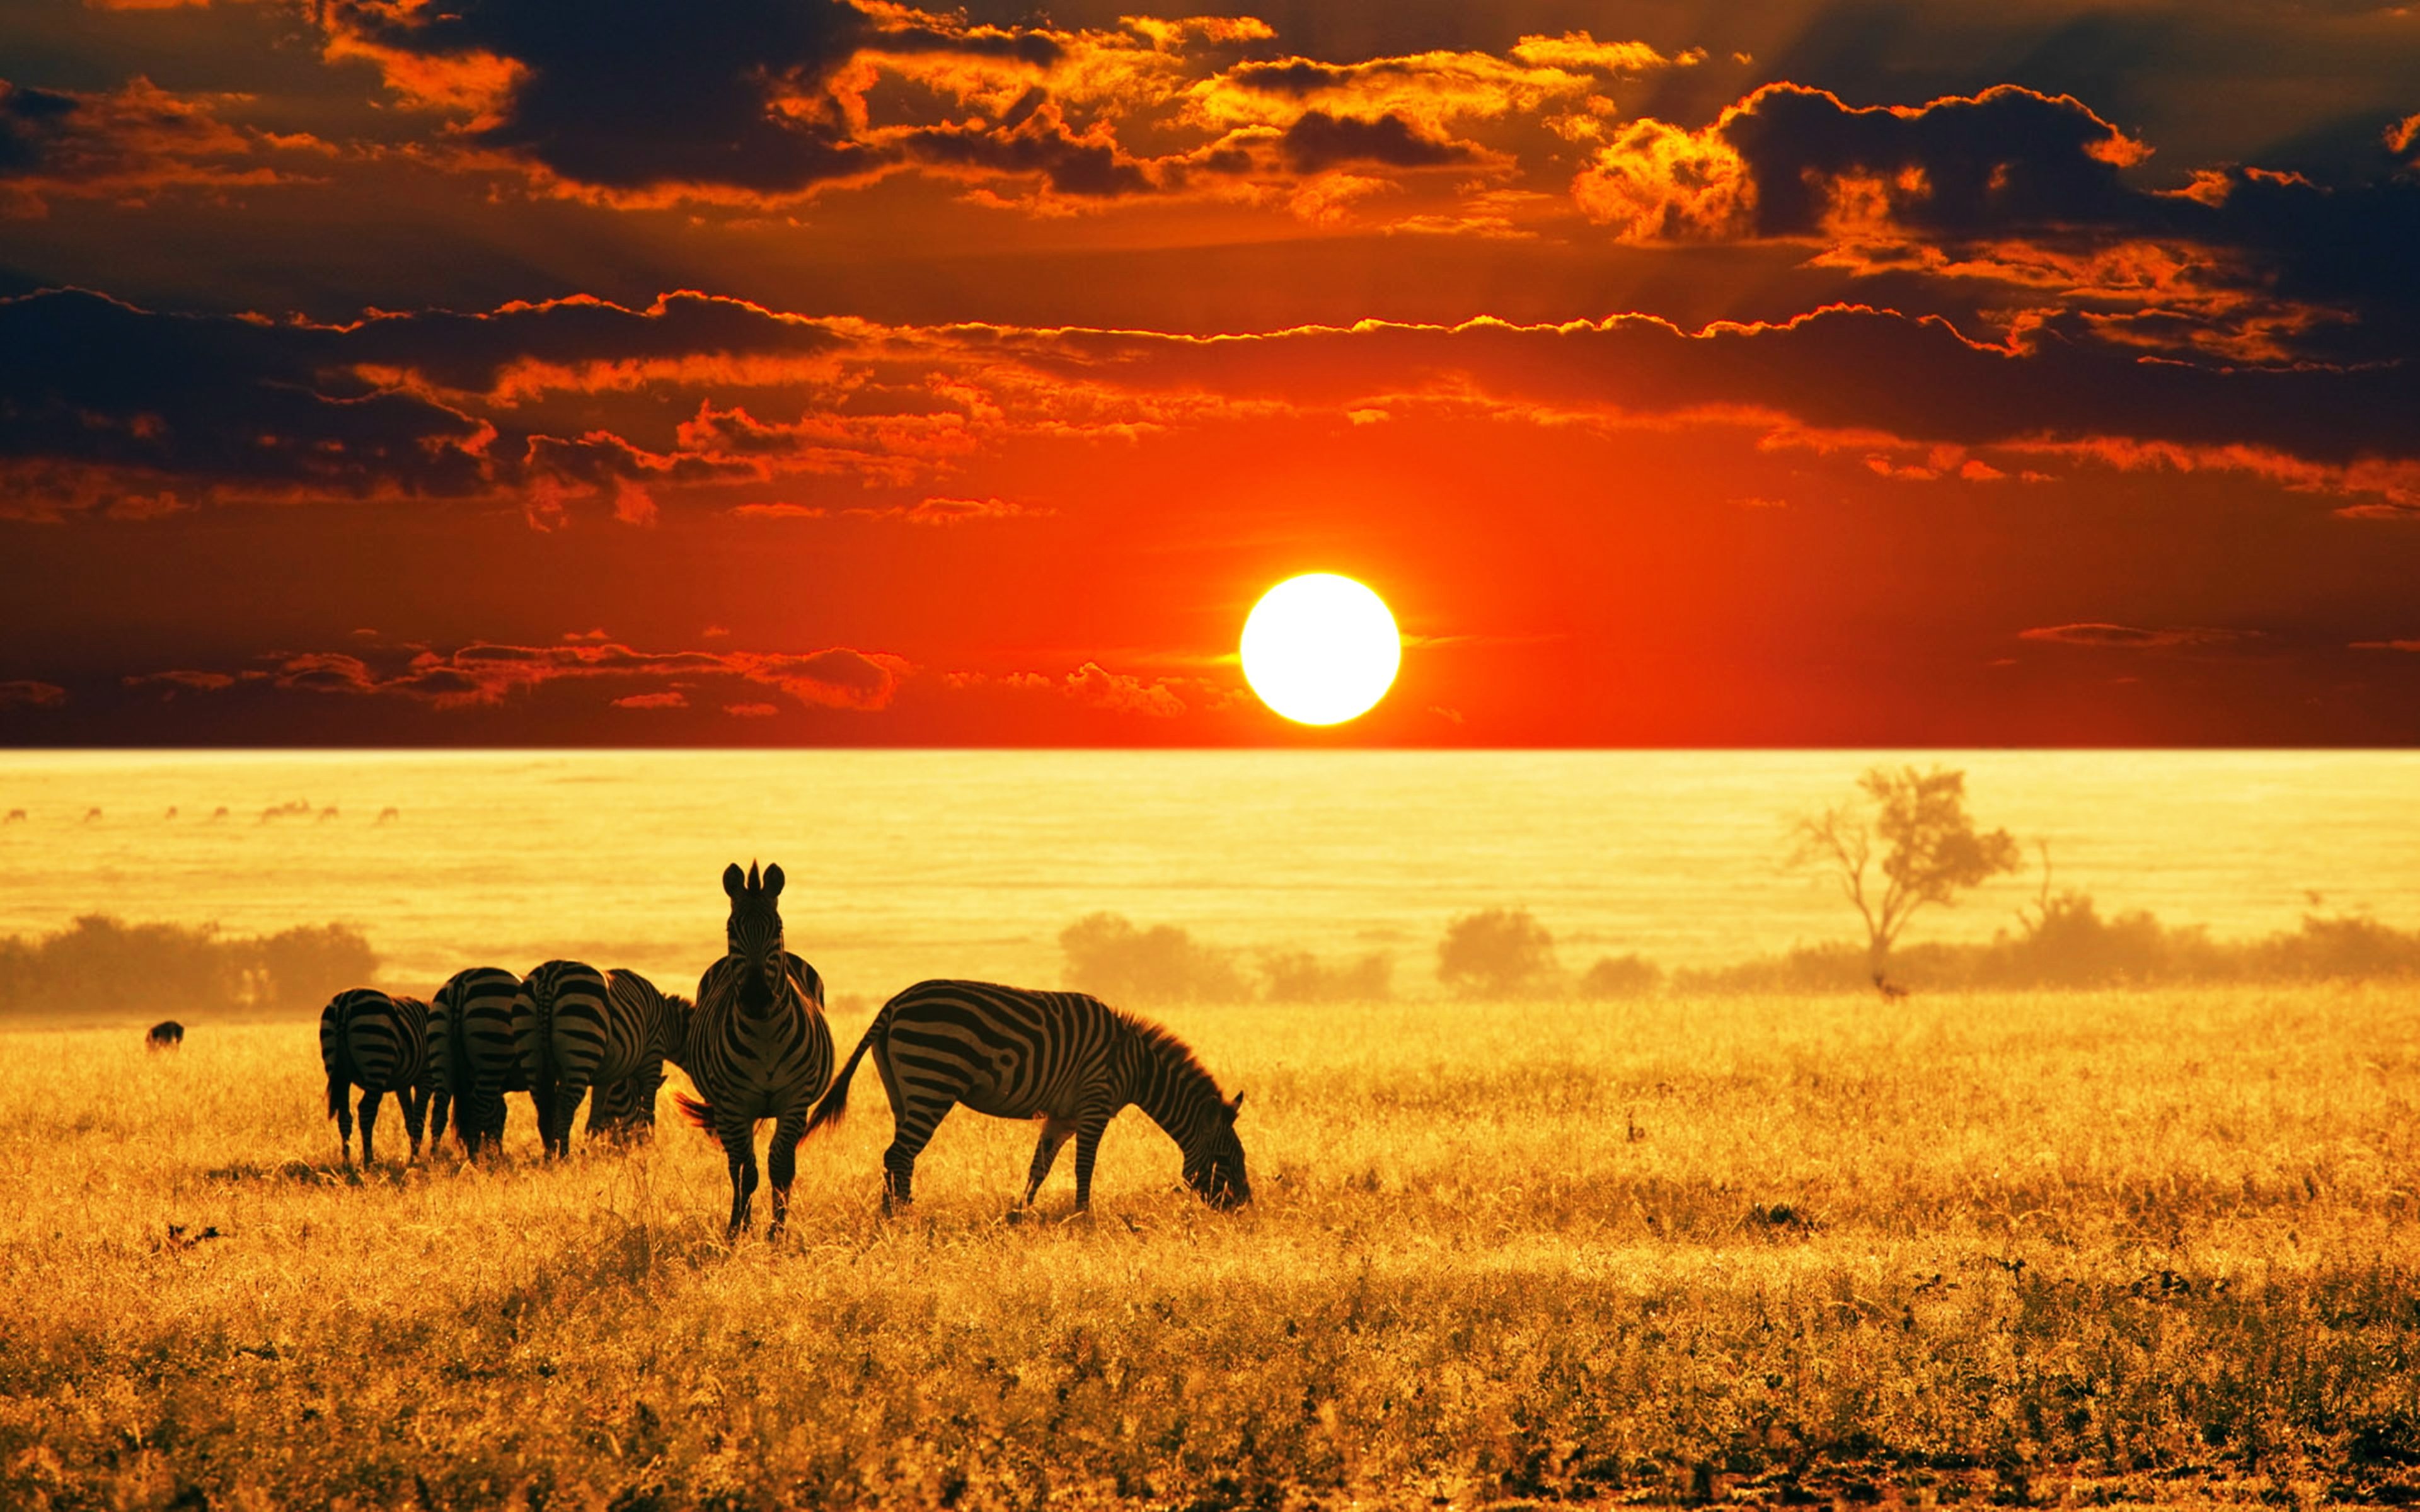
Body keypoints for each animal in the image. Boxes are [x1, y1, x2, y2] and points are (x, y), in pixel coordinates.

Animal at [318, 988, 433, 1166]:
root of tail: (345, 1002)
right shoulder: (425, 1077)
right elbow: (419, 1119)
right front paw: (414, 1159)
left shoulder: (403, 1085)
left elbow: (410, 1119)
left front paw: (413, 1156)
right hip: (377, 1061)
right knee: (366, 1111)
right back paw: (369, 1160)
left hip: (337, 1071)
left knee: (344, 1116)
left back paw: (346, 1162)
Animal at [429, 965, 538, 1156]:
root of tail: (461, 981)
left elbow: (498, 1117)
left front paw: (495, 1154)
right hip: (492, 1054)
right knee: (476, 1112)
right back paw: (475, 1159)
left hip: (442, 1057)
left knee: (440, 1112)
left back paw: (433, 1159)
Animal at [513, 959, 610, 1160]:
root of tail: (549, 975)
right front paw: (584, 1150)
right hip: (581, 1041)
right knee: (566, 1108)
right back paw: (564, 1155)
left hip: (529, 1048)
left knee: (543, 1108)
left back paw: (550, 1154)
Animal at [676, 861, 833, 1240]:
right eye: (732, 928)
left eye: (777, 928)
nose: (757, 996)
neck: (766, 1034)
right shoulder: (734, 1104)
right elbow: (747, 1171)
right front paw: (740, 1229)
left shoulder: (795, 1100)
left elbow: (781, 1167)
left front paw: (777, 1232)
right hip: (727, 1109)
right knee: (735, 1164)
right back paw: (738, 1222)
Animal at [804, 979, 1249, 1214]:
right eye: (1227, 1158)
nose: (1245, 1207)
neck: (1136, 1065)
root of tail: (895, 1003)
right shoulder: (1094, 1104)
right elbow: (1084, 1167)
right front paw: (1083, 1218)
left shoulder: (1063, 1116)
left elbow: (1040, 1166)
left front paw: (1020, 1214)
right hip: (933, 1079)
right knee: (899, 1153)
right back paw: (899, 1217)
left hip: (903, 1089)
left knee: (899, 1154)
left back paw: (895, 1212)